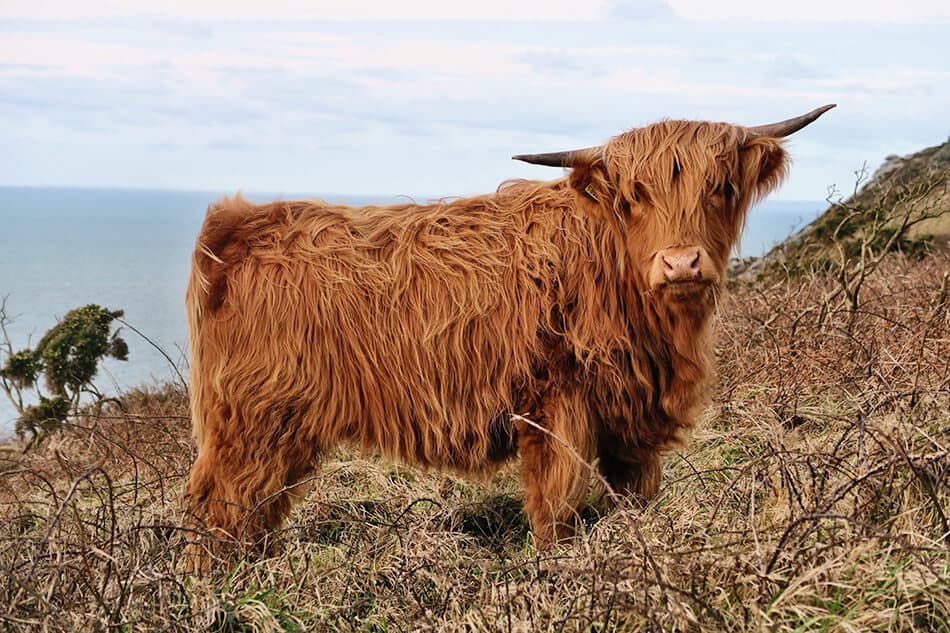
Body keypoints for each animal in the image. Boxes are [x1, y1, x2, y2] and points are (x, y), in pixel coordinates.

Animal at [182, 106, 836, 560]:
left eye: (720, 187)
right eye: (634, 195)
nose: (680, 263)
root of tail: (241, 224)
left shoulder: (631, 420)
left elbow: (635, 495)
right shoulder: (555, 405)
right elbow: (557, 504)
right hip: (254, 420)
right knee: (221, 506)